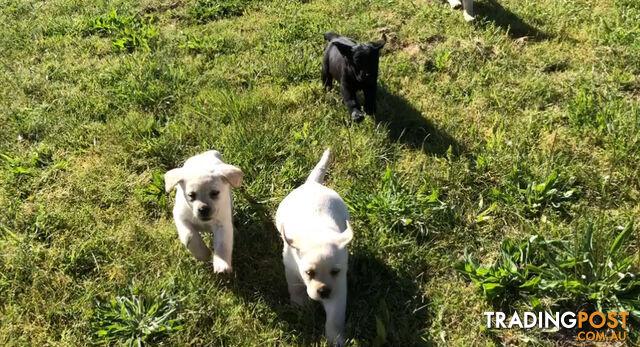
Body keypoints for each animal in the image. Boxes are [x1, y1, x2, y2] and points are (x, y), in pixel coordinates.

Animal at [276, 148, 356, 346]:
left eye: (335, 272)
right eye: (309, 273)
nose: (324, 291)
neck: (317, 232)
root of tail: (313, 184)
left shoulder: (338, 288)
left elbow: (335, 318)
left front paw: (335, 339)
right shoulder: (291, 268)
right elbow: (295, 287)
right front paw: (300, 305)